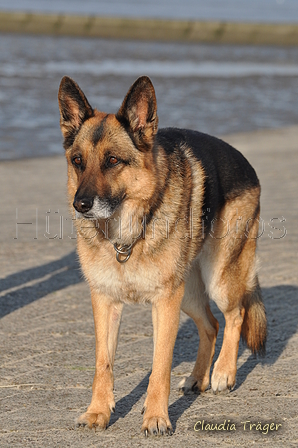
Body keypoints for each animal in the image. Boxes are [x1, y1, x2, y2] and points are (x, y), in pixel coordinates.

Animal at [57, 75, 266, 436]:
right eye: (78, 161)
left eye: (113, 161)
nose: (81, 205)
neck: (125, 238)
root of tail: (245, 162)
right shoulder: (105, 301)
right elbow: (103, 363)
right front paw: (98, 411)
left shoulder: (164, 303)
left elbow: (160, 365)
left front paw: (156, 417)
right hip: (189, 295)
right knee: (210, 325)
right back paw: (198, 378)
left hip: (218, 280)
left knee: (234, 314)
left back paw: (223, 373)